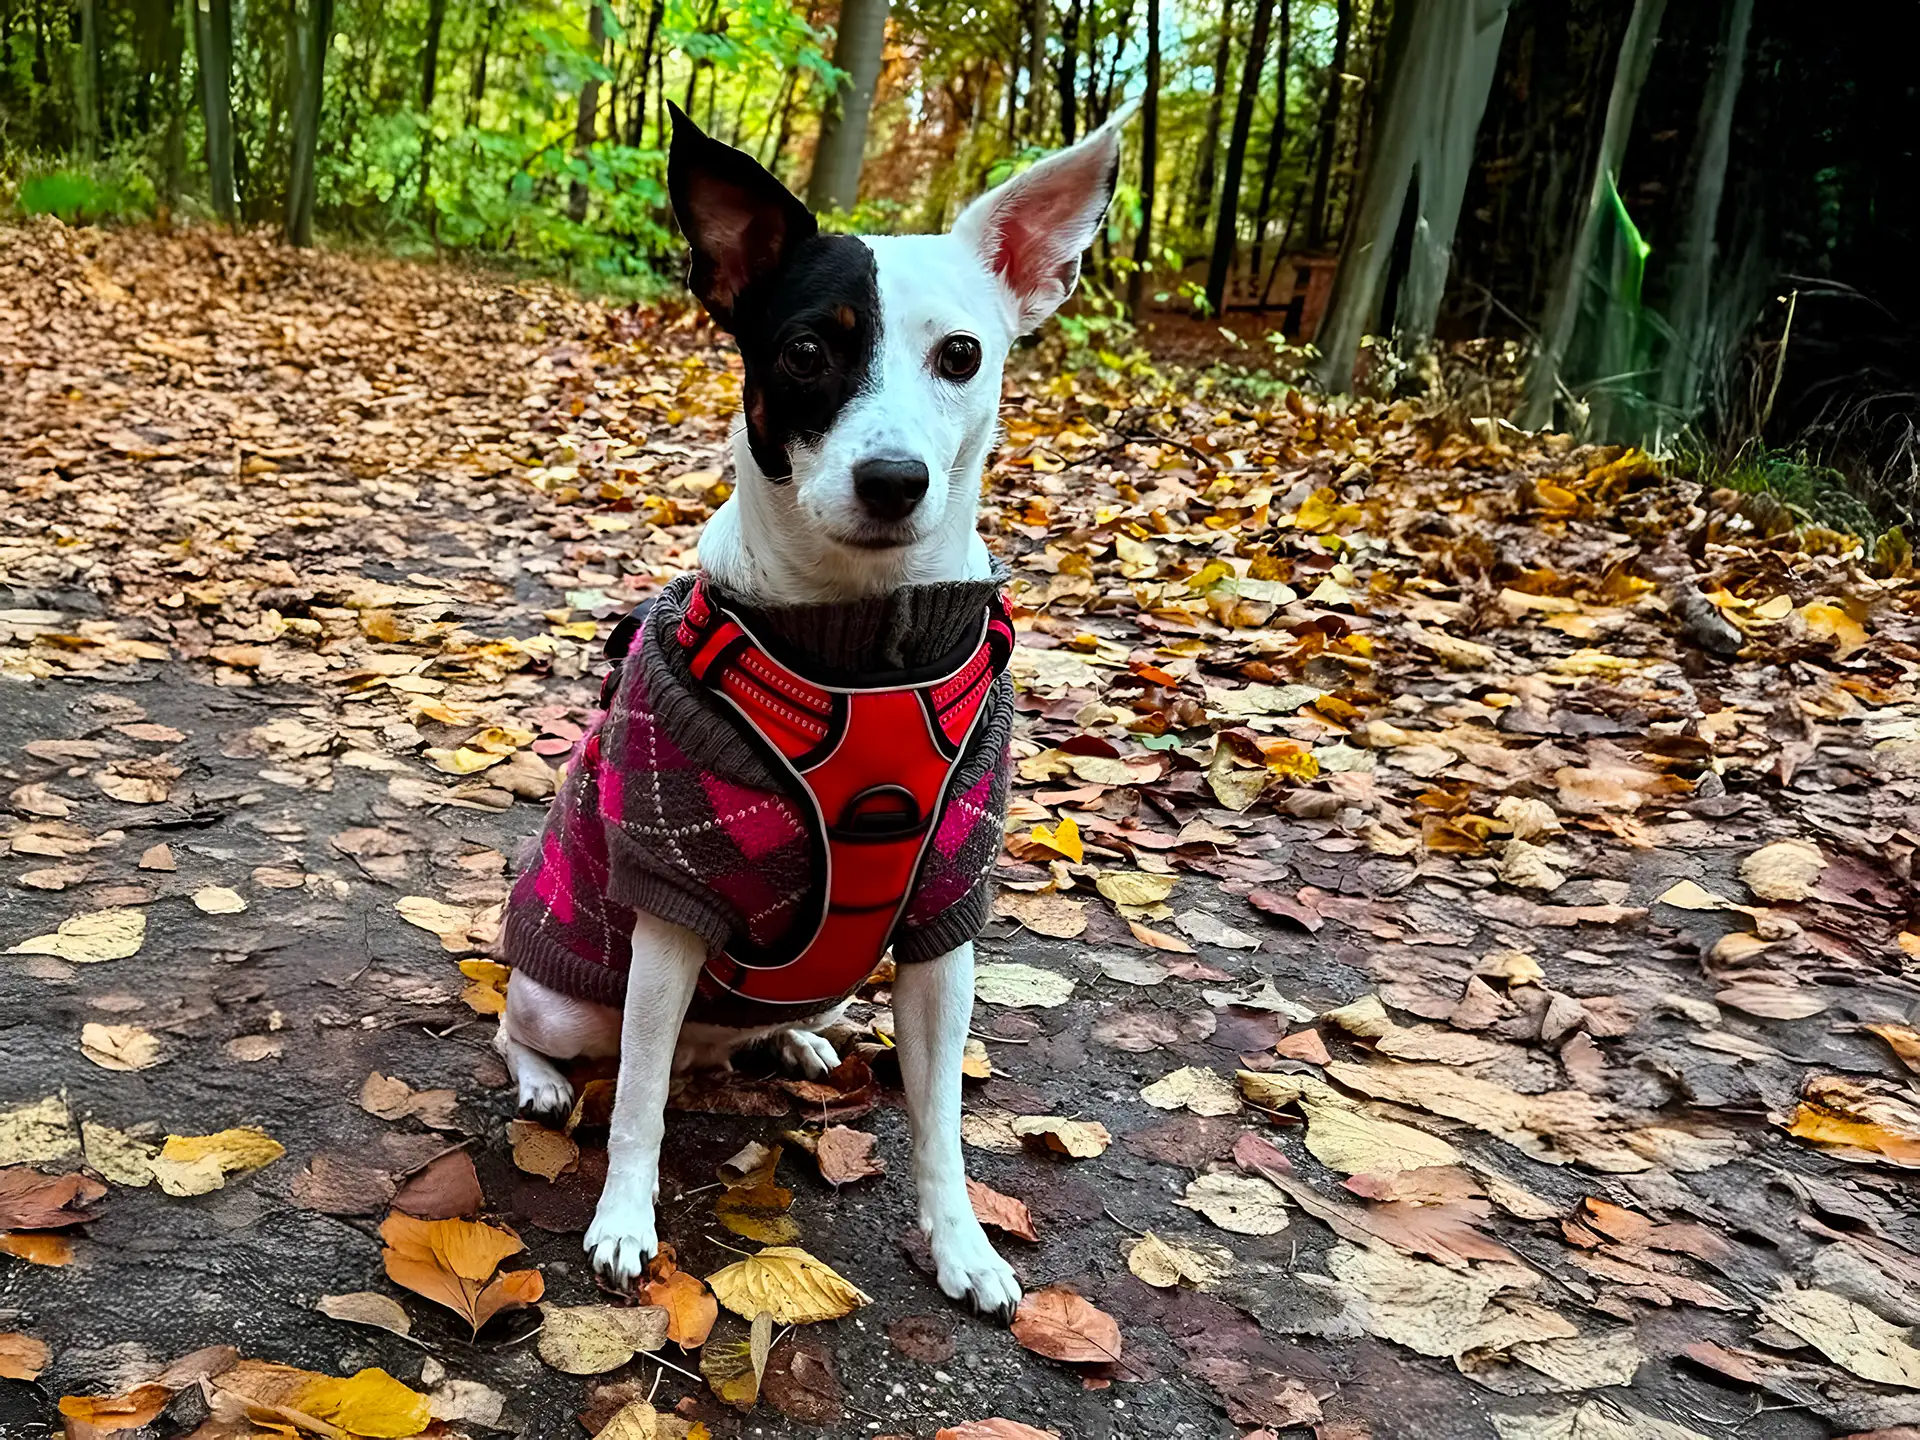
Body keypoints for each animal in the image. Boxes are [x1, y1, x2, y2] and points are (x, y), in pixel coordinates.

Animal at [495, 98, 1128, 1328]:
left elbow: (941, 1124)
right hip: (573, 995)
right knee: (541, 1031)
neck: (859, 652)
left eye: (962, 354)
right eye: (804, 350)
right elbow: (635, 1104)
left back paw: (795, 1042)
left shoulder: (945, 920)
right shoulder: (672, 906)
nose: (893, 479)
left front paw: (962, 1244)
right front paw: (623, 1221)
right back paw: (548, 1080)